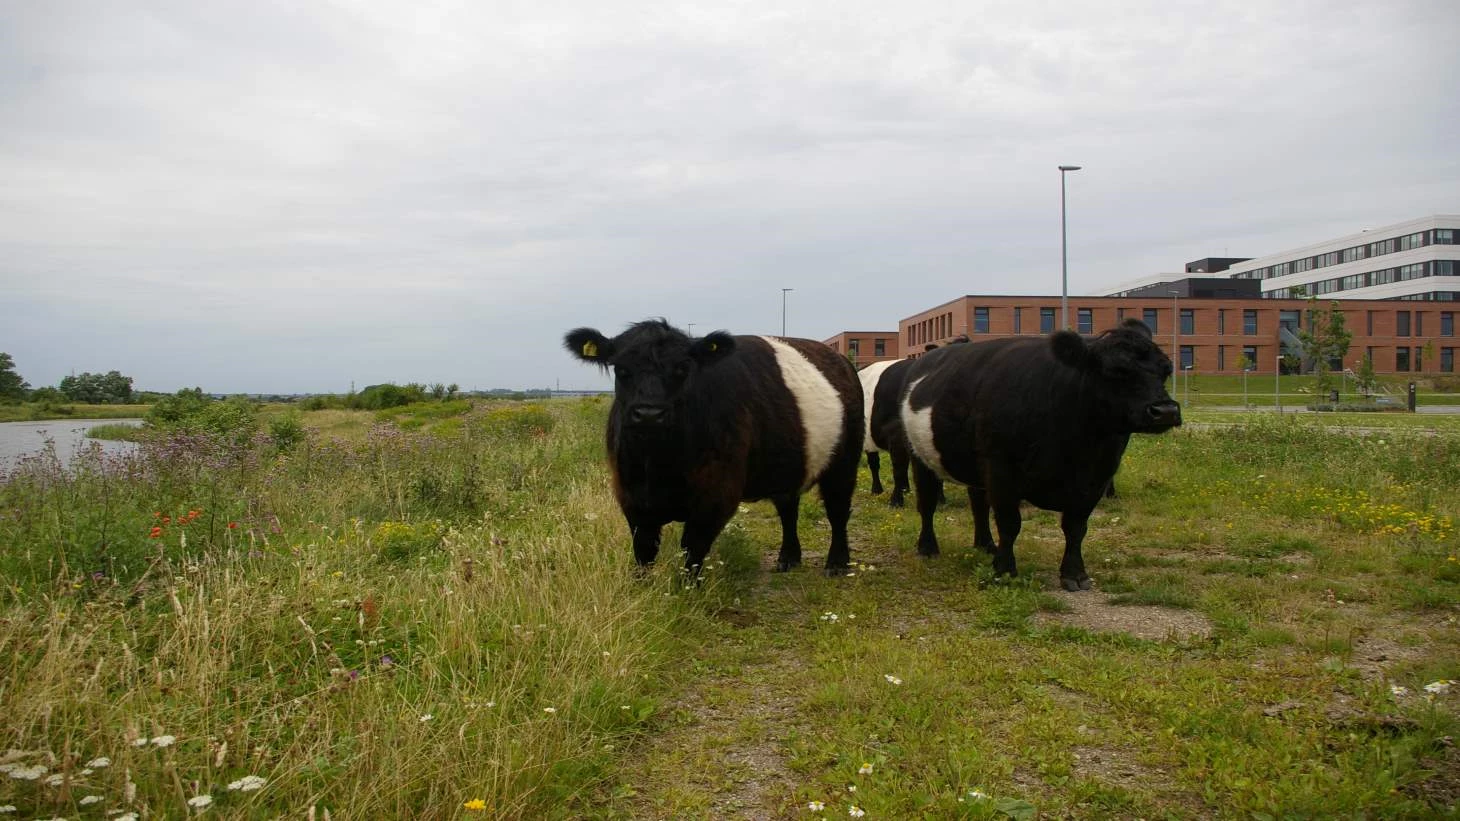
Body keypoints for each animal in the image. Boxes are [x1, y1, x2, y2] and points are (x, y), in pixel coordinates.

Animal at [560, 317, 858, 572]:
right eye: (621, 369)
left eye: (682, 368)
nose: (649, 413)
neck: (658, 464)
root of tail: (841, 359)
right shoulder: (631, 494)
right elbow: (644, 550)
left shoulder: (716, 495)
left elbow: (692, 549)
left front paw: (686, 593)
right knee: (788, 509)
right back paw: (788, 558)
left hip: (845, 460)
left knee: (838, 509)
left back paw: (837, 563)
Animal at [893, 317, 1179, 590]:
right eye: (1115, 371)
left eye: (1166, 370)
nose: (1165, 410)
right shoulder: (1001, 470)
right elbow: (1009, 524)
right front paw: (1005, 572)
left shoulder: (1096, 478)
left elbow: (1076, 528)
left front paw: (1074, 574)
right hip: (921, 457)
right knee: (927, 503)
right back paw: (928, 548)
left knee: (978, 504)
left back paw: (986, 545)